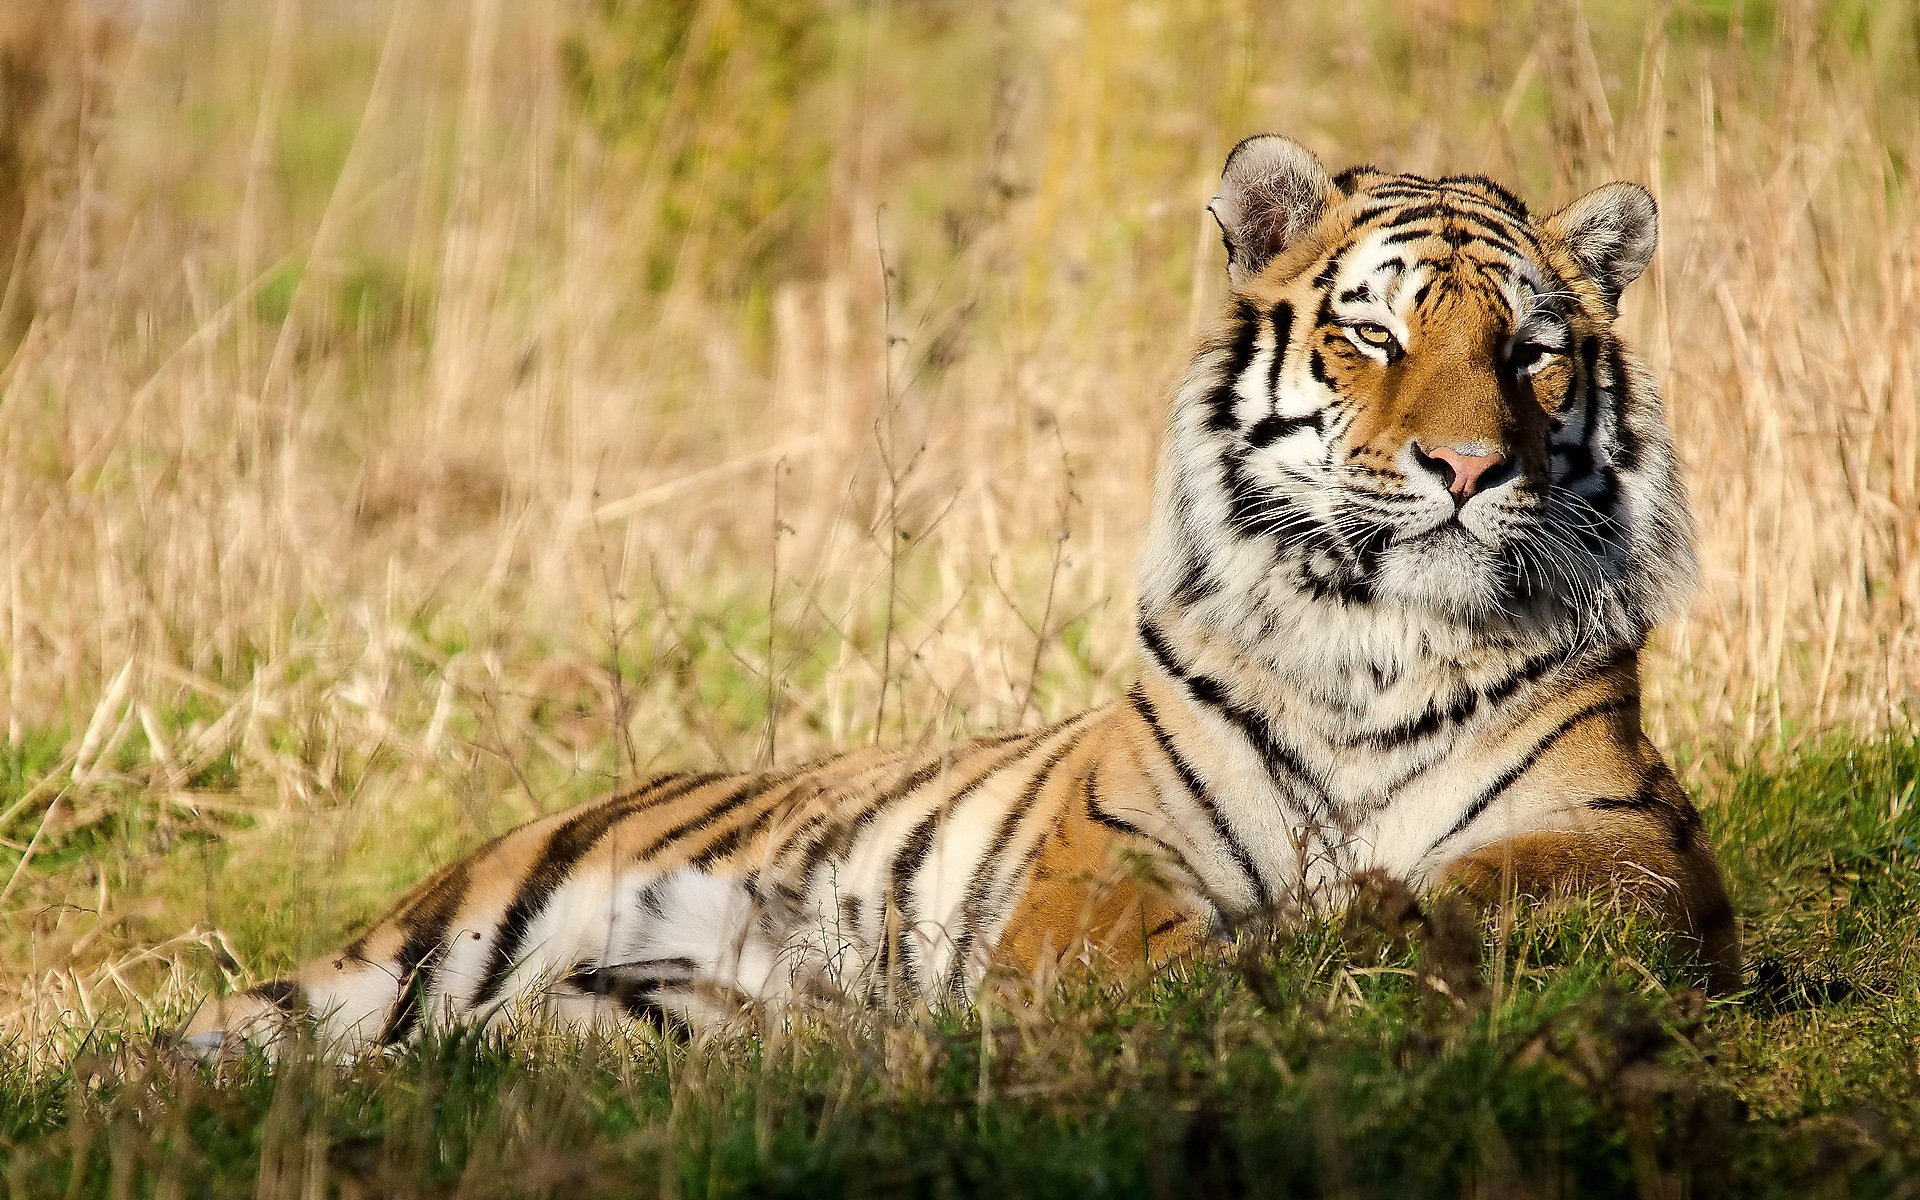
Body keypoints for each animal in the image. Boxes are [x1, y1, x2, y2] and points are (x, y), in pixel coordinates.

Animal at [182, 135, 1738, 1056]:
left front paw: (1363, 920)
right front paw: (1271, 955)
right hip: (427, 950)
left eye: (1532, 352)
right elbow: (1141, 947)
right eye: (1374, 336)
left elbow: (1501, 885)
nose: (1469, 466)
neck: (1377, 638)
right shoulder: (1106, 855)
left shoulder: (1633, 837)